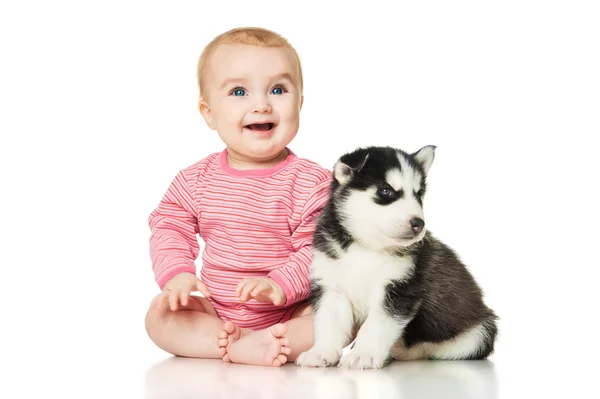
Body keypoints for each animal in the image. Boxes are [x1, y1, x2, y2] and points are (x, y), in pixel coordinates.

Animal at [296, 145, 496, 370]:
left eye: (419, 194)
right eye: (386, 191)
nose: (418, 223)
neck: (366, 247)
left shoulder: (399, 288)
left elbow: (376, 325)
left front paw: (363, 354)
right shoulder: (331, 285)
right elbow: (329, 323)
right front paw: (321, 352)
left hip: (479, 334)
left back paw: (401, 349)